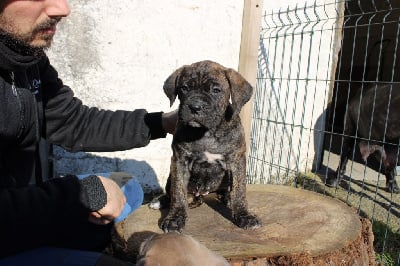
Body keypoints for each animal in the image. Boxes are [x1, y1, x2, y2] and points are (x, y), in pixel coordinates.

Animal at [161, 60, 260, 233]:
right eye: (184, 88)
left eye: (216, 90)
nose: (195, 106)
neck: (206, 132)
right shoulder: (180, 160)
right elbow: (178, 191)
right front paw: (175, 218)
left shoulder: (237, 159)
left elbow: (240, 190)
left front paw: (244, 215)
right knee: (173, 192)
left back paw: (226, 198)